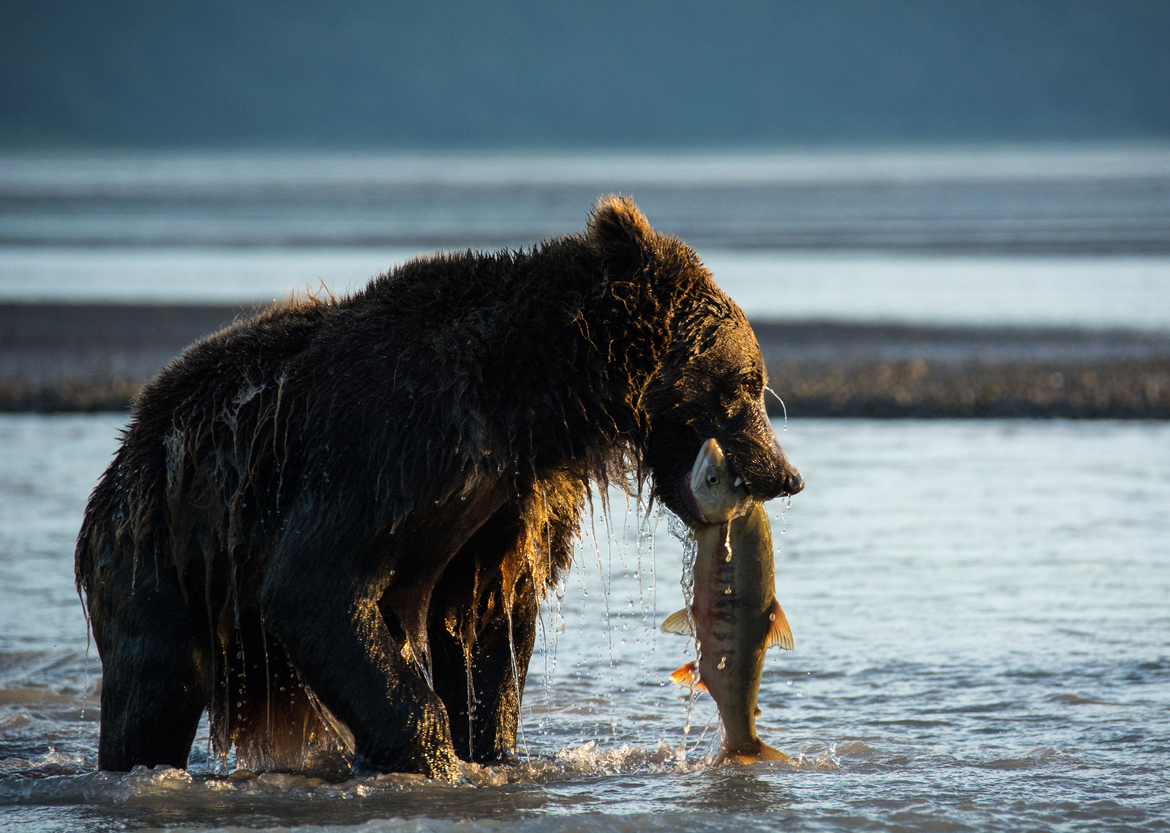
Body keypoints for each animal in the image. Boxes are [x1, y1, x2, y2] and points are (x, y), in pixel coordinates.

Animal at [74, 196, 804, 780]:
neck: (531, 401)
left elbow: (483, 627)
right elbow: (314, 583)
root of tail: (131, 435)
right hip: (165, 548)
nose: (784, 475)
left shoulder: (509, 503)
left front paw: (491, 751)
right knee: (158, 682)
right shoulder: (387, 443)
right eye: (743, 382)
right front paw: (429, 758)